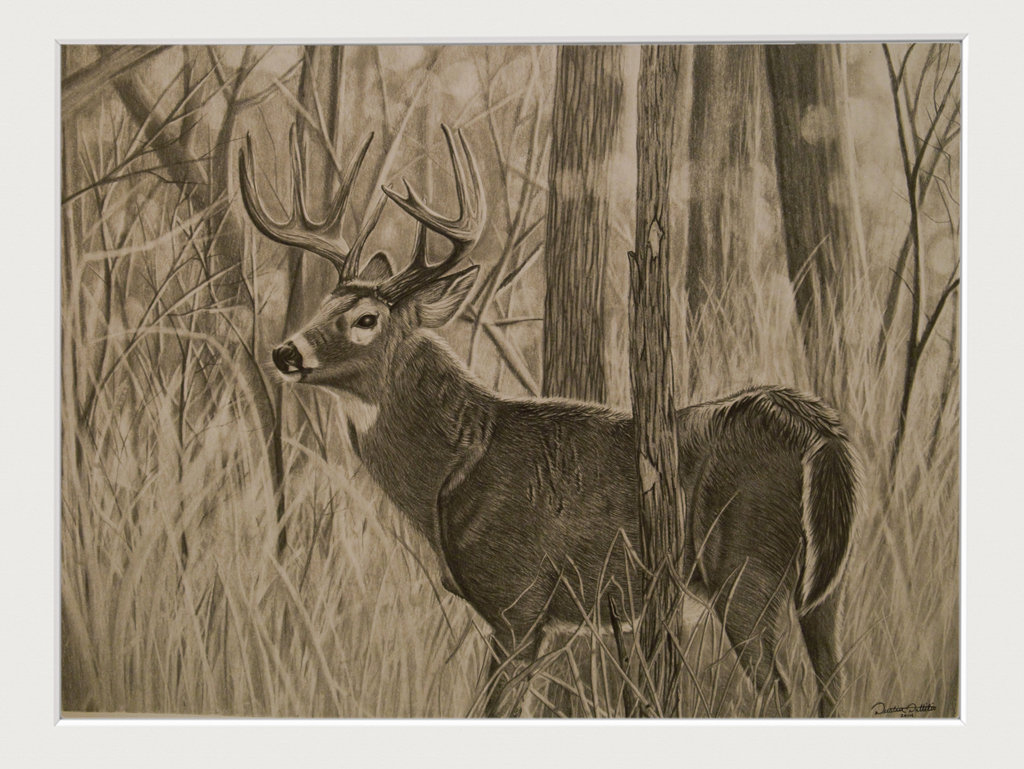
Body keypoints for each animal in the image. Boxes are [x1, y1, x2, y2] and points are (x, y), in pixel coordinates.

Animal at [238, 123, 857, 718]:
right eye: (323, 304)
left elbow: (495, 712)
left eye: (366, 319)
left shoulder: (518, 601)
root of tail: (814, 430)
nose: (284, 352)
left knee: (779, 693)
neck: (456, 468)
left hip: (747, 569)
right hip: (820, 582)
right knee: (832, 684)